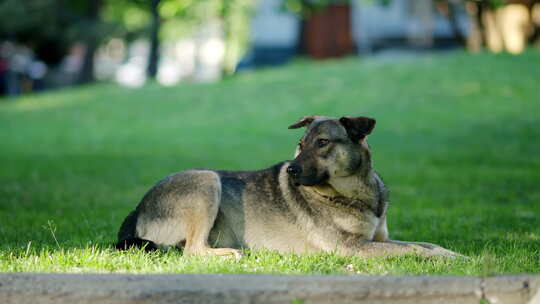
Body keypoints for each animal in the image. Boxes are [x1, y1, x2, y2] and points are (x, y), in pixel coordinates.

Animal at [117, 115, 460, 258]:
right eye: (300, 144)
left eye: (322, 143)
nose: (292, 169)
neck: (357, 194)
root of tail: (136, 210)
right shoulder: (351, 247)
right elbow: (415, 250)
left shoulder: (380, 239)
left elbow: (427, 245)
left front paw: (458, 256)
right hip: (206, 181)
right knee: (192, 251)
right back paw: (234, 253)